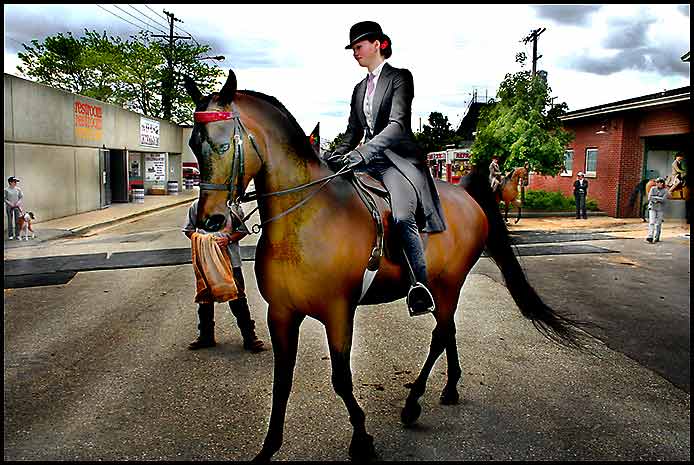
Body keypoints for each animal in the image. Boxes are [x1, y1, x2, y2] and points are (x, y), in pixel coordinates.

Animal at [185, 70, 588, 458]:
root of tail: (467, 195)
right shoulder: (281, 313)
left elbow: (341, 379)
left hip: (449, 284)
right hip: (444, 287)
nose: (210, 221)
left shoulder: (338, 313)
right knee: (448, 331)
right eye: (193, 145)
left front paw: (362, 439)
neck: (307, 220)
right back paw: (450, 388)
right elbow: (281, 381)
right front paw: (269, 447)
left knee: (440, 334)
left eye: (224, 144)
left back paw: (413, 404)